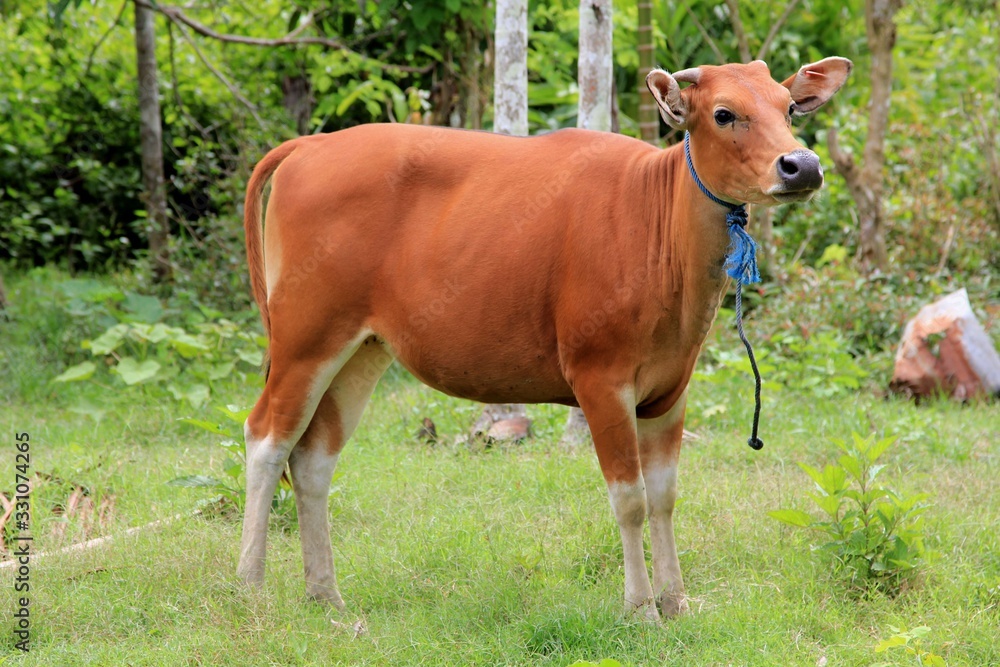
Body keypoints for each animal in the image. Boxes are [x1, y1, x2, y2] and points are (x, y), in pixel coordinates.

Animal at [236, 57, 852, 620]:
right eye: (724, 113)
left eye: (789, 108)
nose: (801, 166)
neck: (658, 231)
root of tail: (308, 147)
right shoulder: (599, 380)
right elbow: (629, 499)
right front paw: (640, 607)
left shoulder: (669, 391)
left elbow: (664, 497)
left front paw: (676, 602)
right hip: (304, 338)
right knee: (266, 439)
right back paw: (251, 587)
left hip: (360, 350)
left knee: (313, 459)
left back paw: (326, 596)